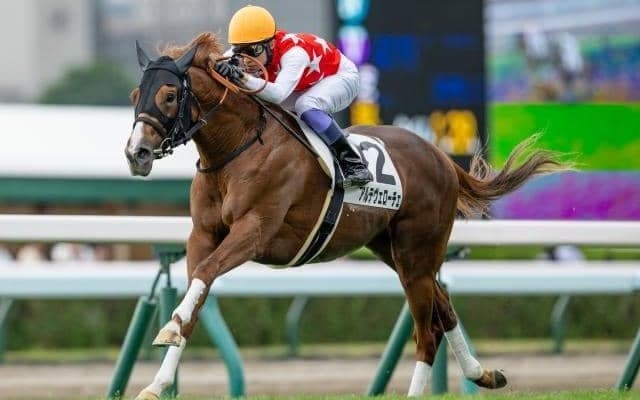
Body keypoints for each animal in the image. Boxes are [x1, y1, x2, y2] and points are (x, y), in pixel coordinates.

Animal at [125, 32, 568, 399]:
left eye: (169, 95)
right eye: (134, 95)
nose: (136, 154)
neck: (238, 148)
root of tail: (441, 157)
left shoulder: (255, 230)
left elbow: (204, 275)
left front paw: (168, 330)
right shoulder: (202, 234)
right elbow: (197, 296)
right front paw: (157, 382)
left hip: (418, 251)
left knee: (427, 332)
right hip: (395, 251)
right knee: (444, 309)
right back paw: (483, 374)